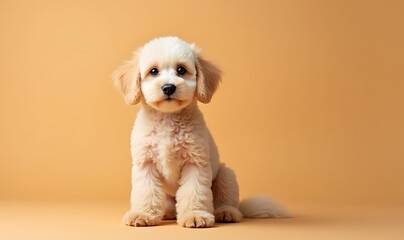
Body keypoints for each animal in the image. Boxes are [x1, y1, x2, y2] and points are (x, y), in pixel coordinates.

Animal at [113, 36, 288, 228]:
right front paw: (143, 214)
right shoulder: (146, 164)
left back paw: (226, 212)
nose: (168, 87)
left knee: (226, 200)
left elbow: (193, 192)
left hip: (226, 175)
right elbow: (146, 191)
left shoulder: (195, 163)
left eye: (181, 70)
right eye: (153, 71)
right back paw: (167, 212)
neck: (168, 119)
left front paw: (195, 215)